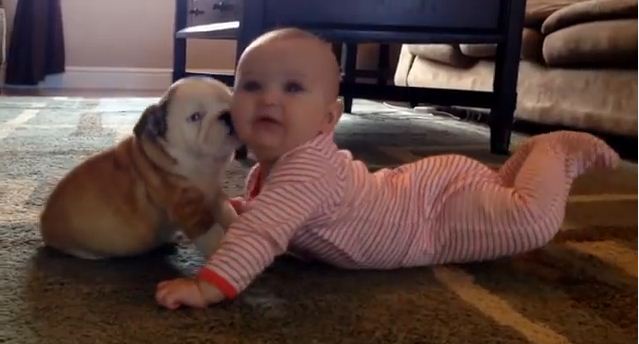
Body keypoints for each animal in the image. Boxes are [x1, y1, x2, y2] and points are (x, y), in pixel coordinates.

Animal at [40, 76, 240, 260]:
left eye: (231, 102)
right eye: (195, 117)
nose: (227, 114)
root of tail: (44, 221)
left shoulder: (215, 197)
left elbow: (228, 214)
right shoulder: (190, 209)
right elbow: (213, 236)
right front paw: (223, 252)